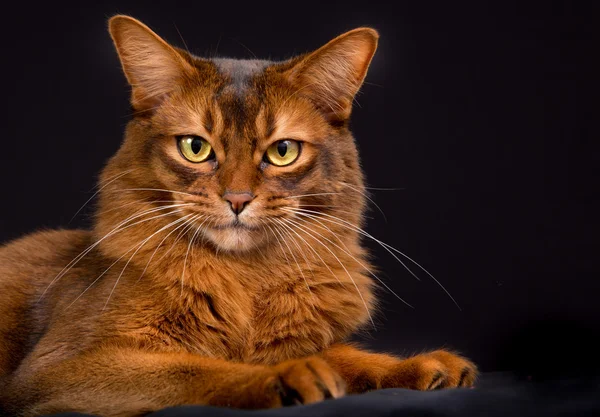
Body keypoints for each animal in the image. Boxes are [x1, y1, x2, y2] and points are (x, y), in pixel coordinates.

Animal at [1, 15, 478, 416]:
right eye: (195, 147)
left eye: (282, 151)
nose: (237, 198)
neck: (246, 279)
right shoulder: (56, 371)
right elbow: (194, 366)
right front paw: (285, 377)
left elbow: (341, 354)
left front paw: (422, 366)